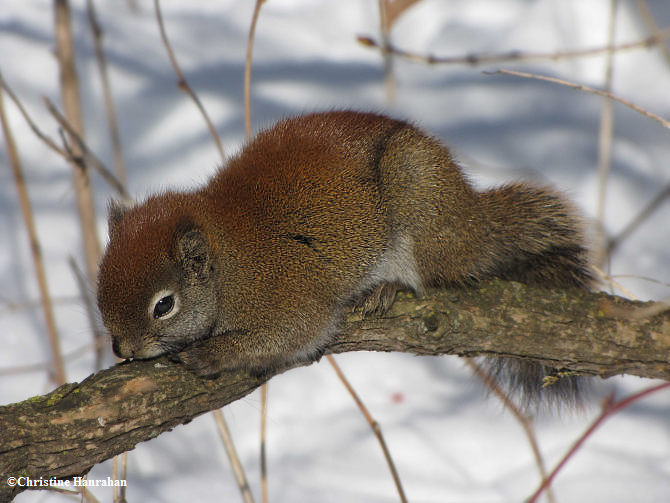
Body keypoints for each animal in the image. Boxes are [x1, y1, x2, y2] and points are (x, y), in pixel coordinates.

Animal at [98, 111, 592, 406]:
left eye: (164, 305)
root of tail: (474, 222)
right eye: (100, 288)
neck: (230, 259)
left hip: (421, 205)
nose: (123, 349)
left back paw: (387, 286)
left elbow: (294, 332)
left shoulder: (288, 292)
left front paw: (213, 354)